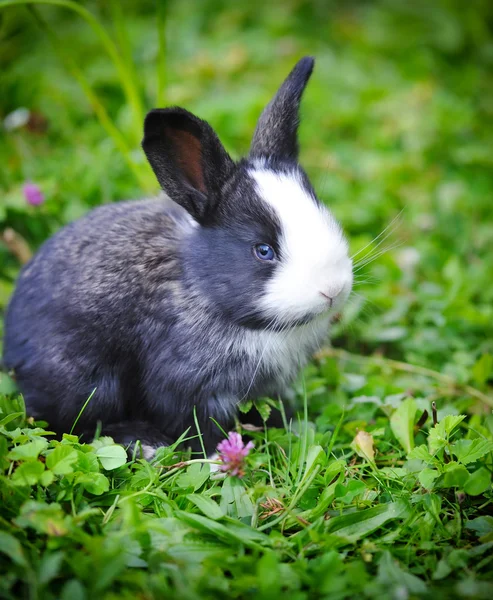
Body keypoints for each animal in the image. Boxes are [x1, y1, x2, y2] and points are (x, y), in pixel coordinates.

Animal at [1, 57, 352, 460]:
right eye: (263, 251)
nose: (333, 290)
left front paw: (287, 423)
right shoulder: (185, 384)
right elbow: (198, 422)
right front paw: (216, 455)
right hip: (84, 381)